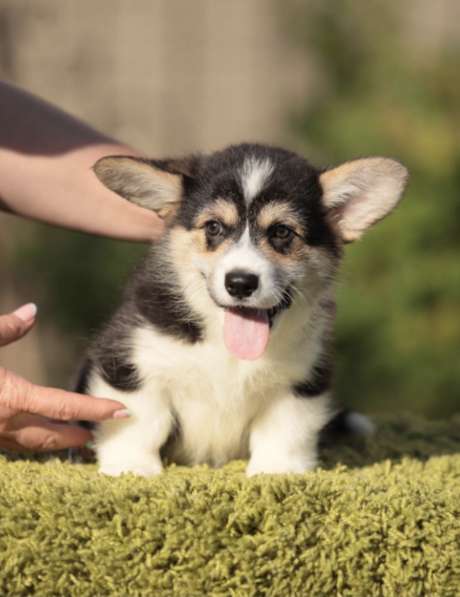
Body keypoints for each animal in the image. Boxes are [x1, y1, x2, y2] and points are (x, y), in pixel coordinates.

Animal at [77, 143, 408, 474]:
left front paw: (277, 470)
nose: (240, 283)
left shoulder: (301, 380)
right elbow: (139, 420)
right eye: (213, 227)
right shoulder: (127, 358)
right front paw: (132, 468)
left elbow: (285, 430)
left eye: (282, 232)